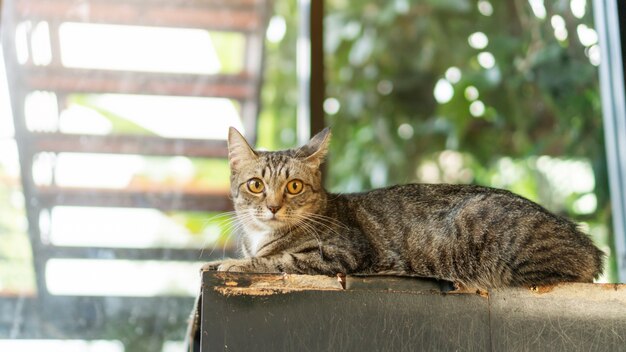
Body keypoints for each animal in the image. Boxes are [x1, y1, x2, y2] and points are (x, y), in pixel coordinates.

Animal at [202, 127, 604, 288]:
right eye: (256, 185)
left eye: (294, 186)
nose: (272, 207)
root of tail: (589, 245)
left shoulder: (341, 254)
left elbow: (276, 260)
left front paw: (230, 263)